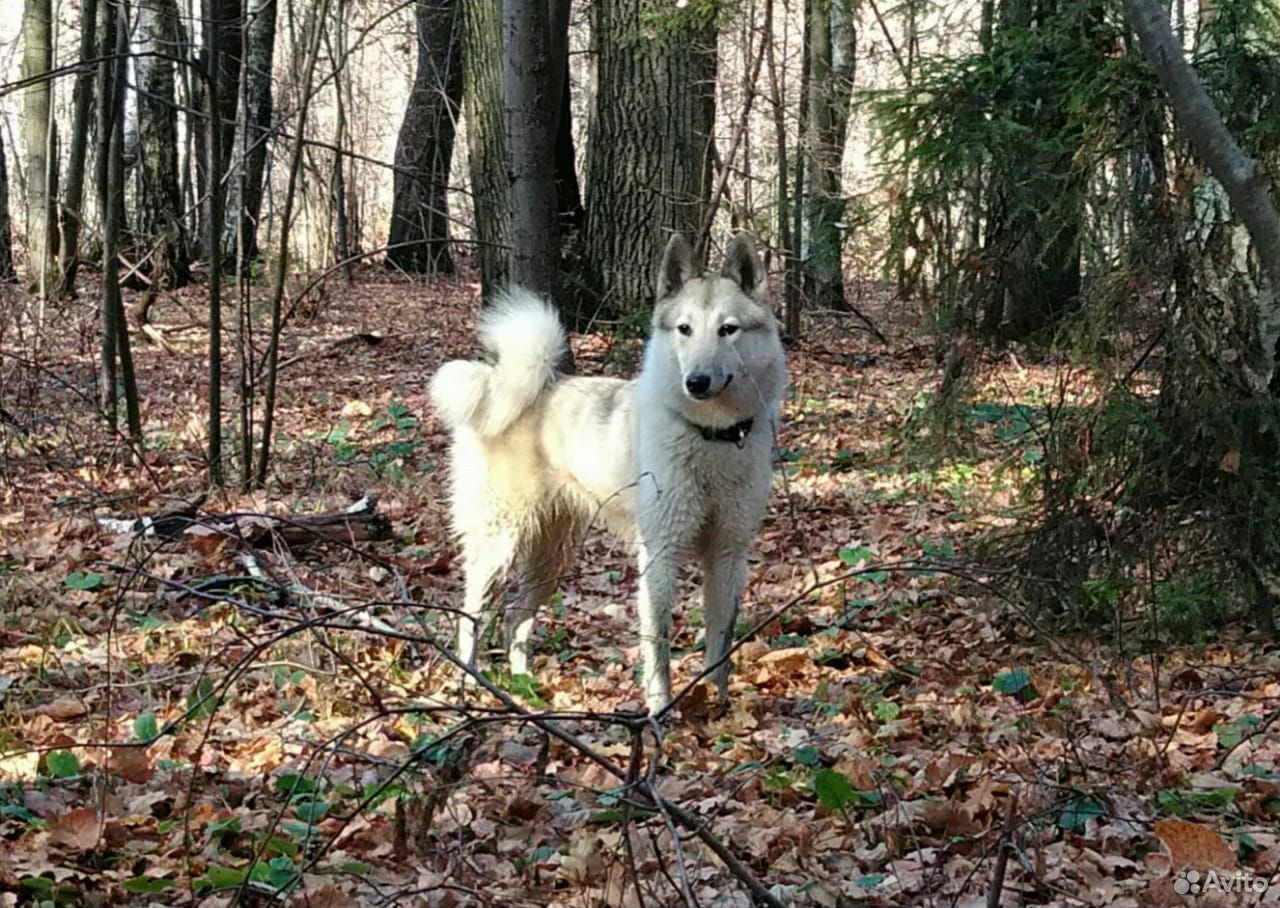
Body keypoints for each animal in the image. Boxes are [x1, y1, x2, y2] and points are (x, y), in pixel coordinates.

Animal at [432, 231, 788, 706]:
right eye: (685, 329)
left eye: (727, 330)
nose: (695, 382)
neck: (710, 436)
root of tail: (509, 387)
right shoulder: (660, 553)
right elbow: (658, 647)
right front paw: (659, 709)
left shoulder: (728, 554)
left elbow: (720, 646)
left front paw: (720, 705)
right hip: (501, 544)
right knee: (471, 617)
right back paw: (473, 687)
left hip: (553, 555)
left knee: (514, 619)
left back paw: (526, 691)